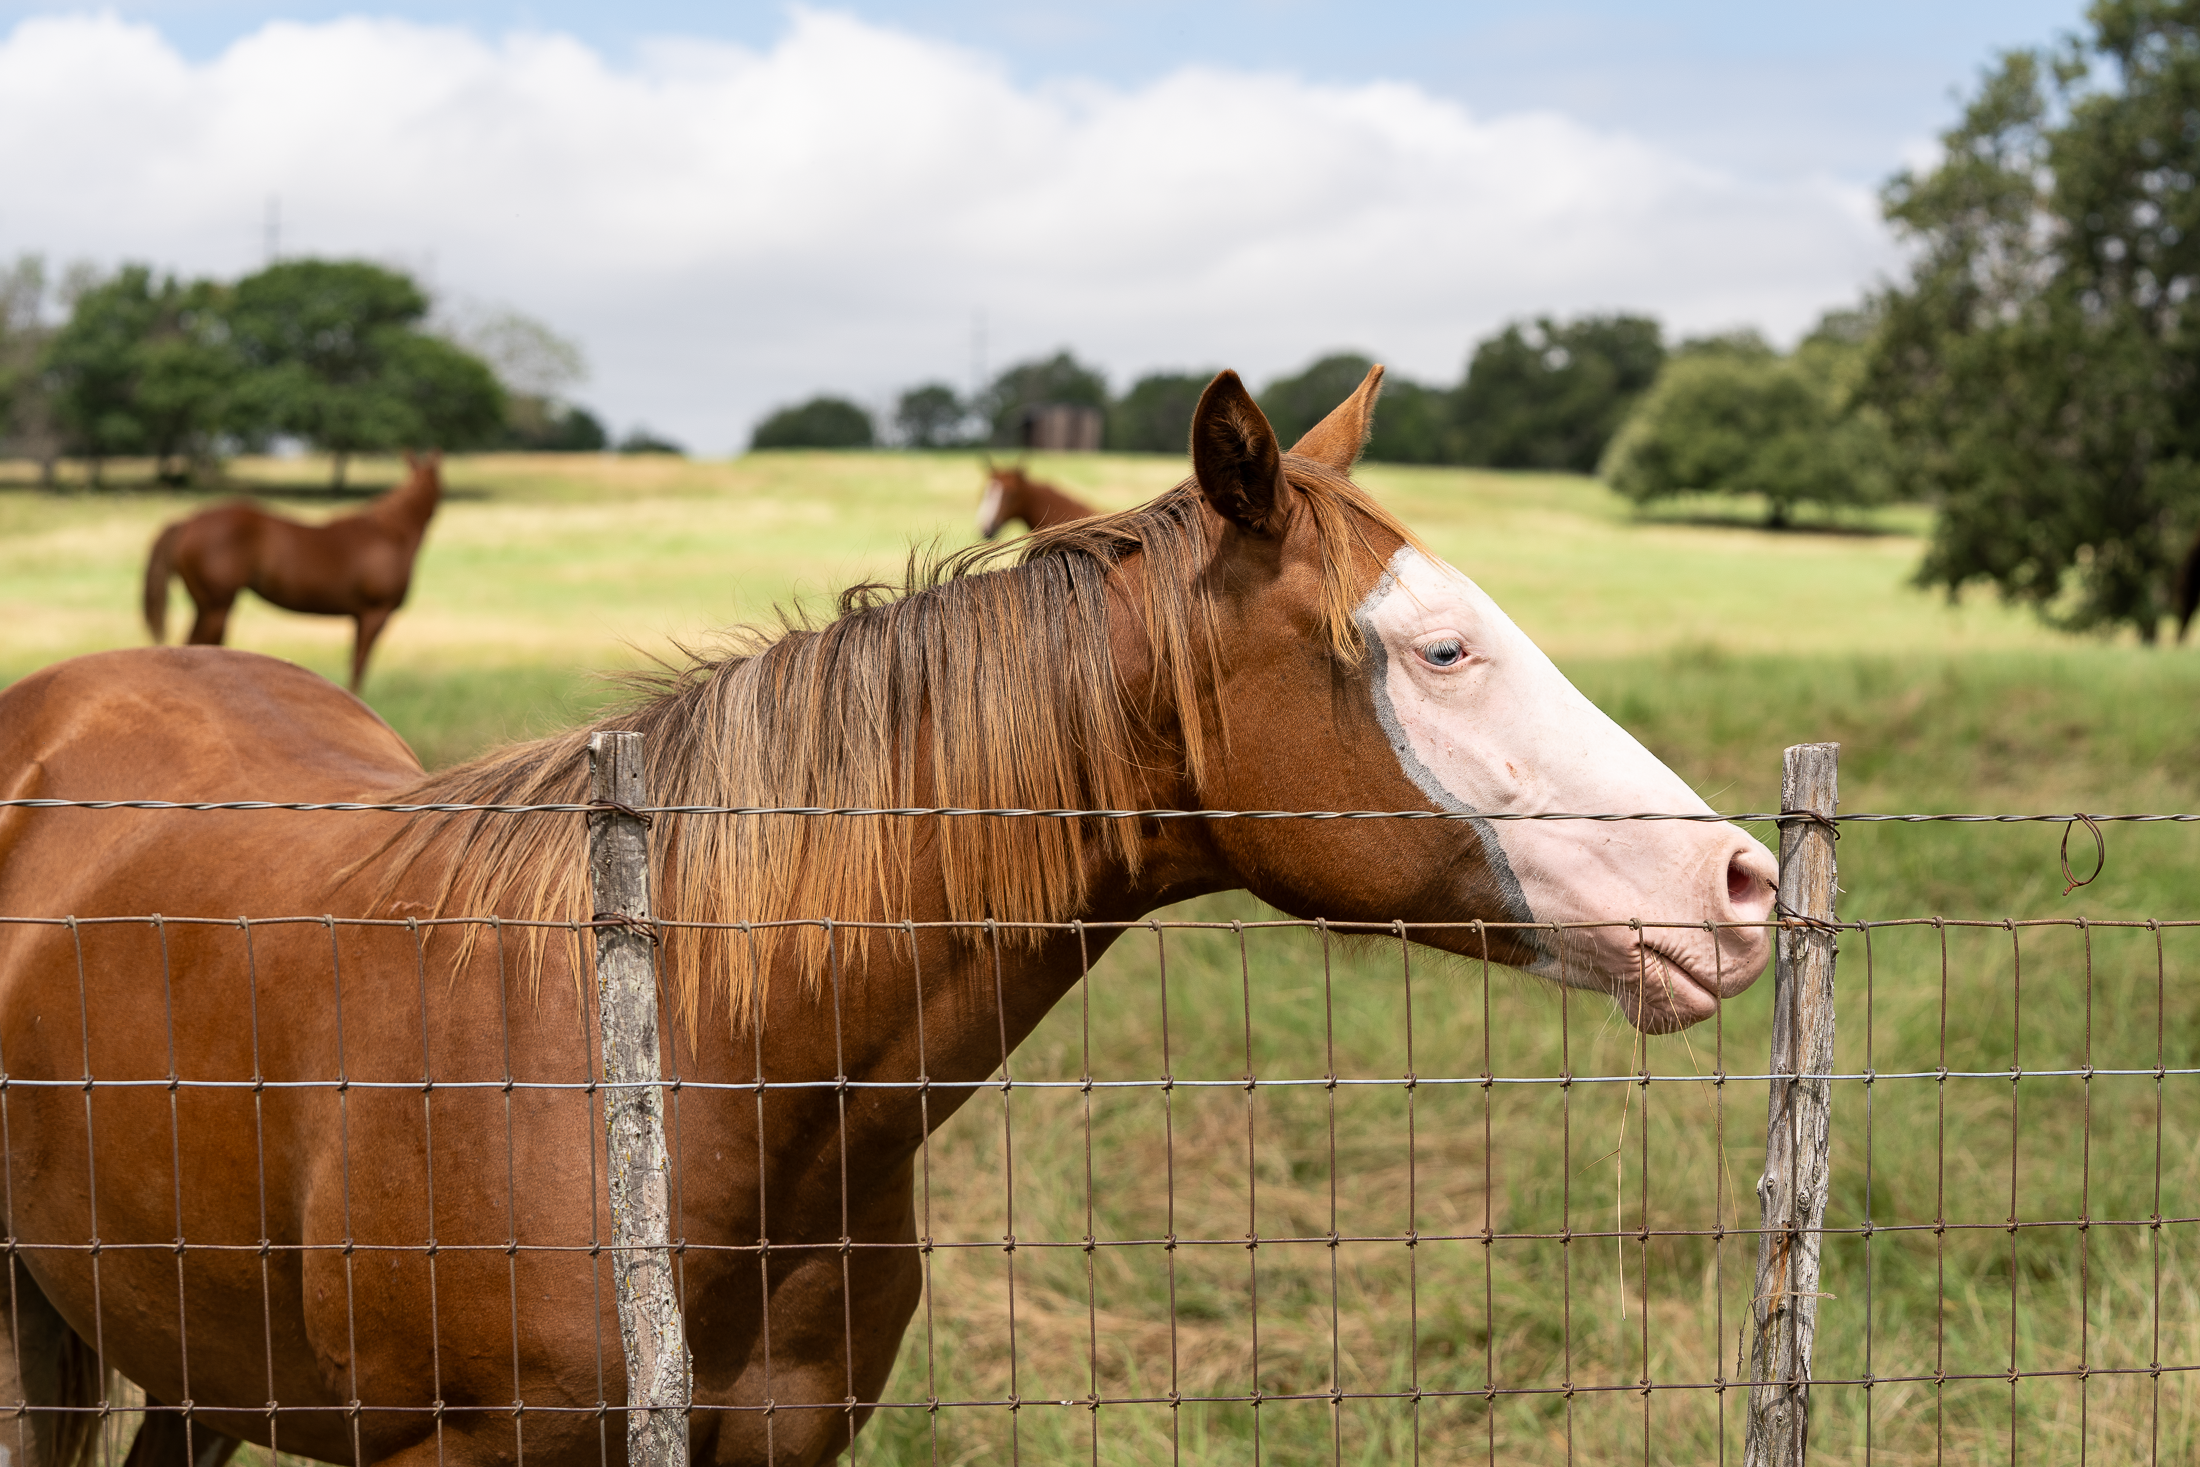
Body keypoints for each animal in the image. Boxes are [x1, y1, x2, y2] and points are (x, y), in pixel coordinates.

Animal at [142, 452, 444, 692]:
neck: (390, 534)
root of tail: (187, 522)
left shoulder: (360, 618)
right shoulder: (375, 614)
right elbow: (359, 667)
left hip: (207, 607)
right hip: (215, 607)